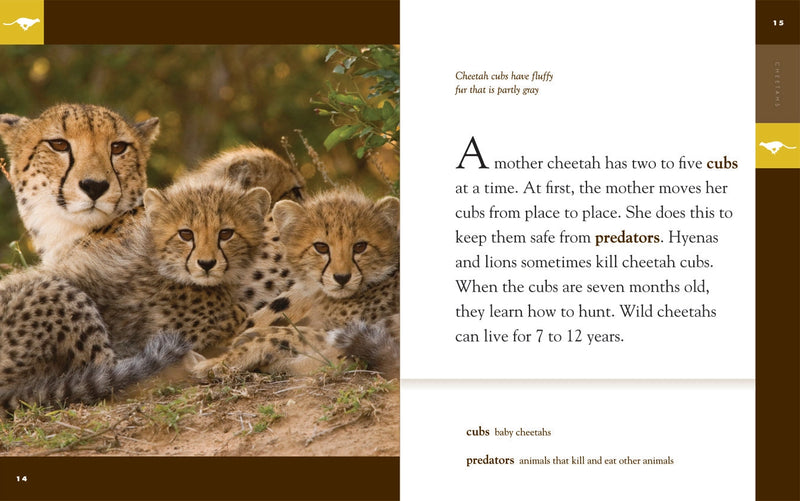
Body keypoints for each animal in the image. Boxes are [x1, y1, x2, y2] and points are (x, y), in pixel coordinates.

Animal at [0, 180, 270, 410]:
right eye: (186, 234)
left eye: (226, 233)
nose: (206, 264)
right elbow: (238, 315)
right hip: (59, 293)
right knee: (109, 373)